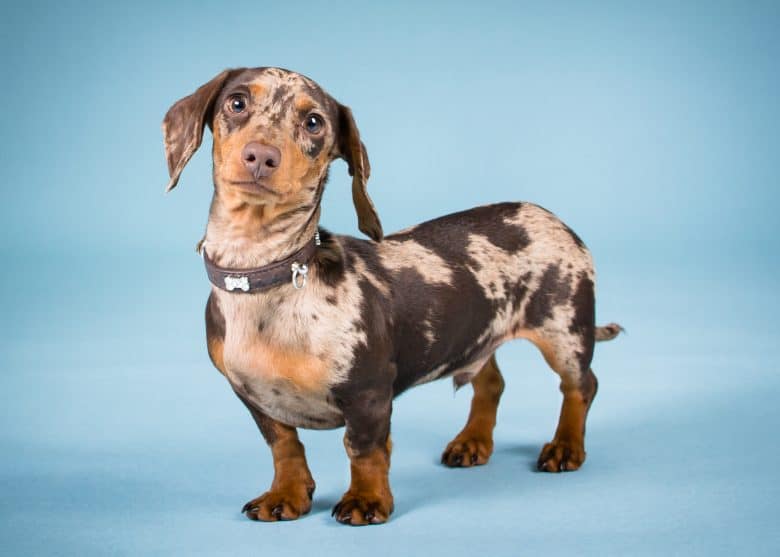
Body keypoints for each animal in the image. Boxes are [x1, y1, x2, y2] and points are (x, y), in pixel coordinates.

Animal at [163, 67, 620, 524]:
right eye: (237, 102)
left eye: (314, 122)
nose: (261, 155)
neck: (265, 275)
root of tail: (550, 216)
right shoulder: (253, 397)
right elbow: (284, 446)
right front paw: (287, 494)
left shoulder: (368, 393)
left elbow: (363, 450)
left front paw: (367, 500)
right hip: (476, 335)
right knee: (491, 382)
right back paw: (472, 441)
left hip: (564, 331)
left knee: (582, 385)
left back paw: (565, 447)